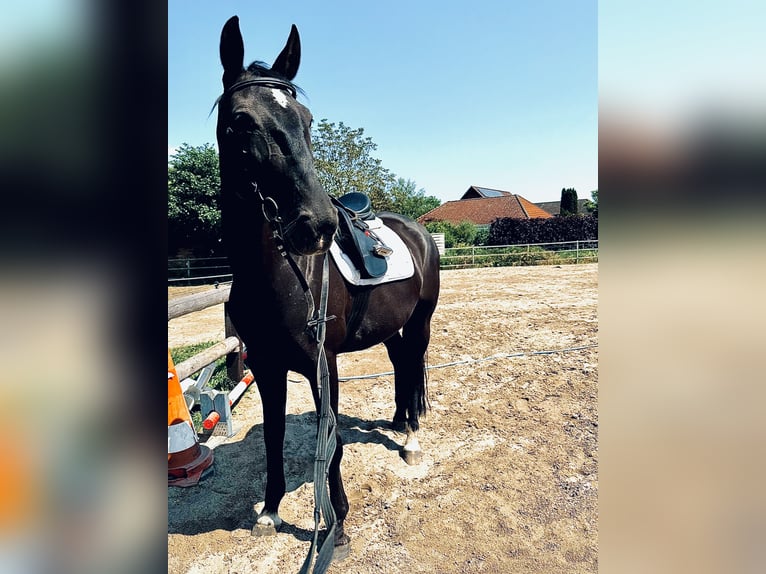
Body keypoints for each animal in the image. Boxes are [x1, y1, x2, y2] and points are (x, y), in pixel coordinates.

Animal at [215, 15, 440, 563]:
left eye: (308, 119)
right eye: (241, 121)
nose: (316, 225)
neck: (277, 278)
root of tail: (418, 231)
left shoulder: (325, 366)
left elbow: (330, 444)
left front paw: (339, 525)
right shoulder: (267, 366)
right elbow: (274, 437)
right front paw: (271, 510)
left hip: (420, 321)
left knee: (414, 365)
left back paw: (411, 438)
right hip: (392, 327)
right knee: (401, 363)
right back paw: (398, 420)